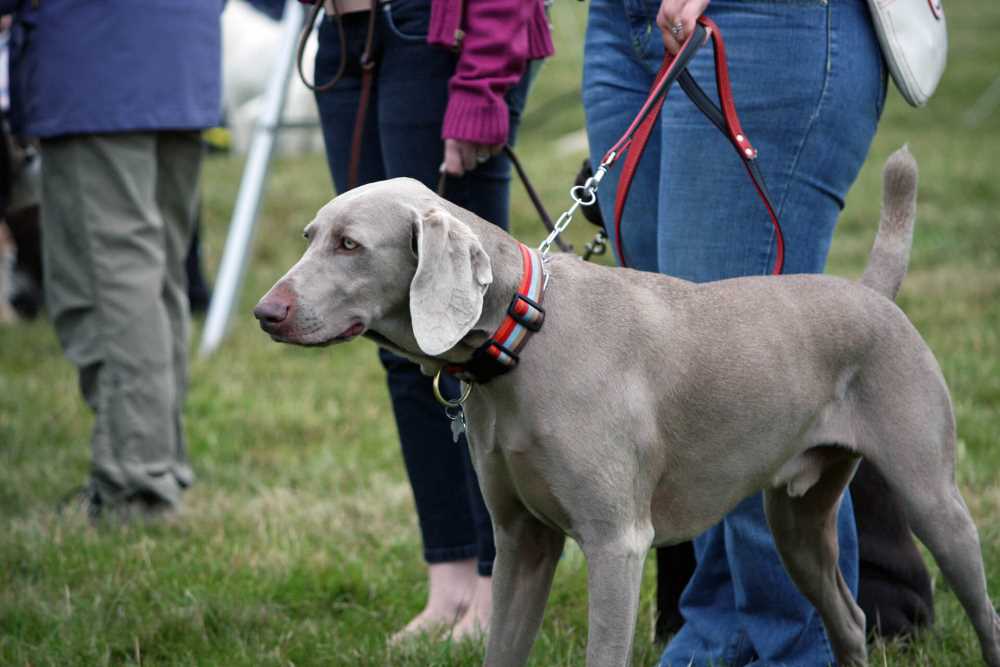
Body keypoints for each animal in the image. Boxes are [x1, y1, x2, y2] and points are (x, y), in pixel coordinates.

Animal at [254, 147, 996, 667]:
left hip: (932, 497)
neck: (524, 337)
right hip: (798, 520)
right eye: (309, 236)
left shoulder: (617, 543)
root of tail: (873, 294)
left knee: (983, 609)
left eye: (350, 244)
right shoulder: (521, 541)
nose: (265, 312)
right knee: (847, 617)